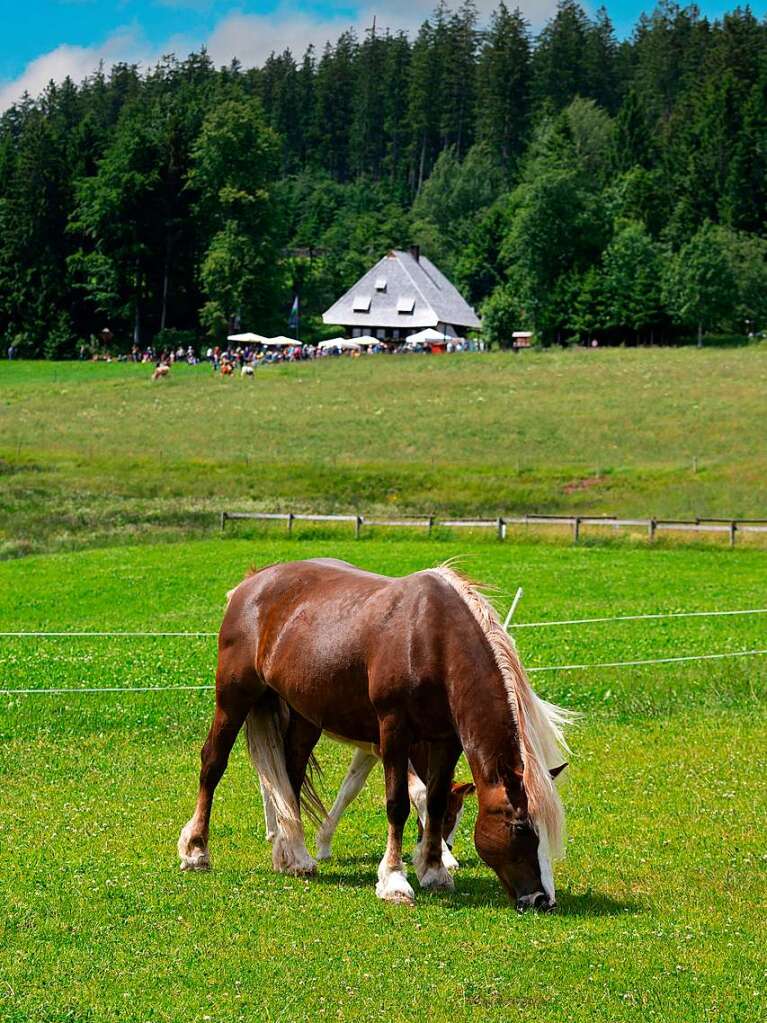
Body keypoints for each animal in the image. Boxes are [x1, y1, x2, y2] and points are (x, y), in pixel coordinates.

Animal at [178, 560, 576, 912]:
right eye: (520, 828)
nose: (542, 900)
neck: (431, 638)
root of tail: (251, 582)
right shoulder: (393, 731)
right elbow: (398, 803)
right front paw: (394, 880)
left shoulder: (445, 740)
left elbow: (434, 801)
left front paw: (434, 871)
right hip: (233, 697)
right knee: (213, 763)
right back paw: (197, 850)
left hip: (304, 716)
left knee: (288, 778)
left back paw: (294, 857)